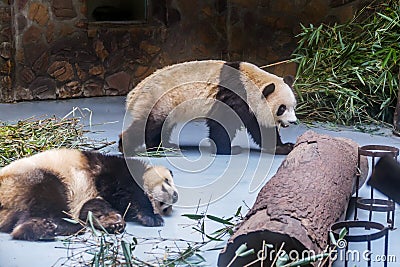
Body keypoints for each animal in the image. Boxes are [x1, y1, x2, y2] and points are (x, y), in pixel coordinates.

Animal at [0, 150, 178, 242]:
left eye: (166, 208)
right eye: (167, 182)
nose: (175, 196)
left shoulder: (90, 195)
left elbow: (92, 207)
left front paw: (112, 221)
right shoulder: (111, 169)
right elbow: (124, 189)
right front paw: (151, 217)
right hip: (25, 178)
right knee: (47, 192)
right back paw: (55, 227)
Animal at [119, 59, 296, 156]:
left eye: (294, 106)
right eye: (281, 108)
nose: (293, 122)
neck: (251, 82)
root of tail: (134, 94)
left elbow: (260, 128)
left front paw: (283, 147)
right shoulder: (234, 93)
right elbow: (223, 123)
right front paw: (229, 149)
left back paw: (165, 146)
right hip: (160, 100)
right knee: (149, 125)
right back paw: (130, 146)